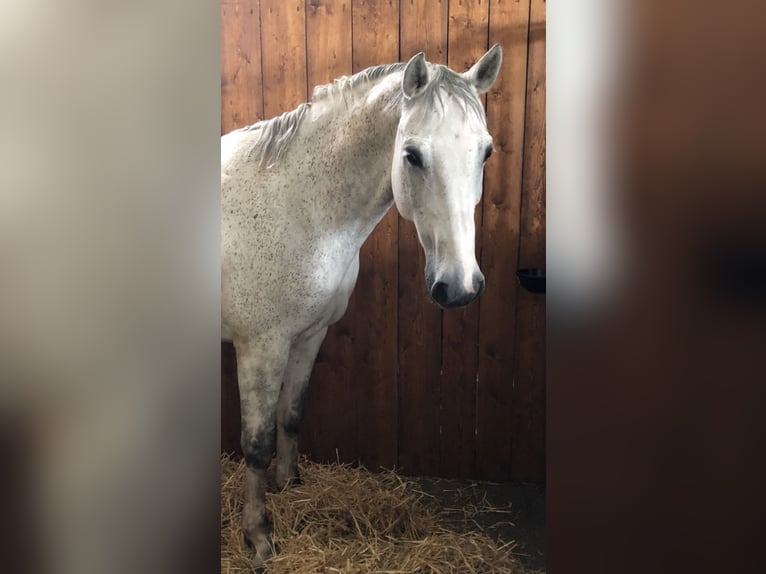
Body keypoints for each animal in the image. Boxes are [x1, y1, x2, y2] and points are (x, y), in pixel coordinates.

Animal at [220, 45, 504, 568]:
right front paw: (259, 536)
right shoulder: (260, 348)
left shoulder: (309, 335)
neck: (297, 207)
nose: (459, 286)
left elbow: (292, 414)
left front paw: (291, 487)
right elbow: (257, 443)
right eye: (411, 155)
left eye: (486, 151)